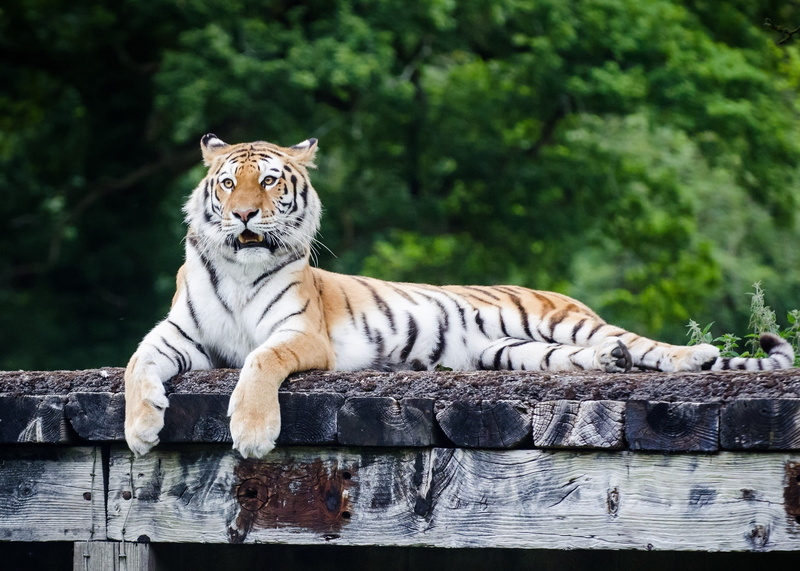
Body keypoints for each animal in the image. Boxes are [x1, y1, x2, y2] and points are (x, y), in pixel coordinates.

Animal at [124, 134, 795, 459]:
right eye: (227, 183)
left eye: (268, 182)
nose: (242, 215)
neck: (240, 270)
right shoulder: (177, 335)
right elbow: (135, 366)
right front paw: (140, 430)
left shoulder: (299, 335)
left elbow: (261, 362)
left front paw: (253, 433)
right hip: (509, 352)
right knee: (593, 357)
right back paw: (611, 364)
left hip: (566, 322)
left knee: (648, 346)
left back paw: (690, 357)